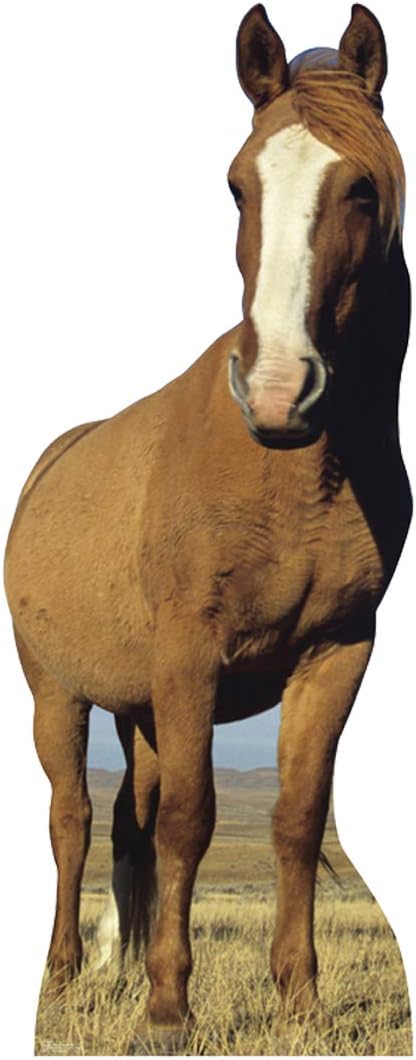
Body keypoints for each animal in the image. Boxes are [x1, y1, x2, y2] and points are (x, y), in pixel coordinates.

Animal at [4, 0, 411, 1037]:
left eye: (362, 188)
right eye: (237, 187)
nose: (276, 392)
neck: (291, 474)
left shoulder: (337, 653)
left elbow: (296, 819)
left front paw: (300, 1002)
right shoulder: (193, 654)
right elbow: (192, 818)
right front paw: (168, 1009)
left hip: (139, 707)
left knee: (128, 821)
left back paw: (116, 966)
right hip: (58, 692)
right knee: (72, 819)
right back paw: (65, 975)